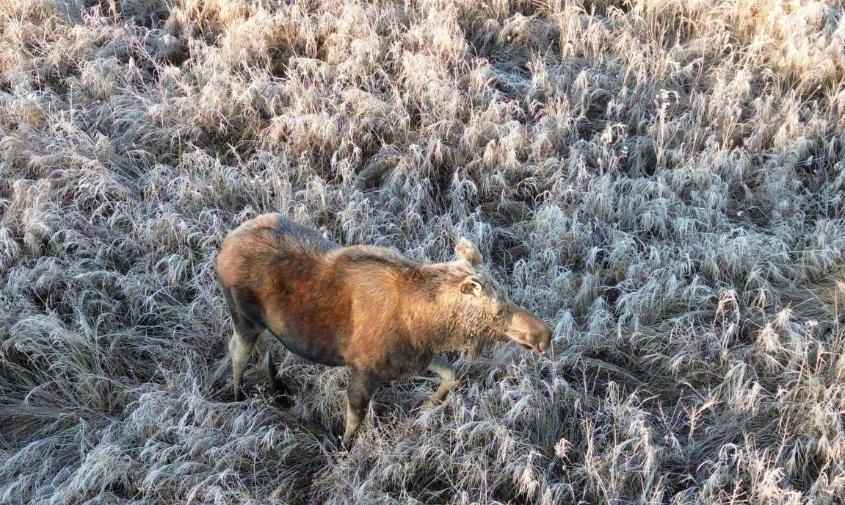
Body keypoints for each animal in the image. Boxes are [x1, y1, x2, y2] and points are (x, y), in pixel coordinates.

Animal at [214, 213, 552, 444]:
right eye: (498, 310)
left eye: (508, 296)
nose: (545, 336)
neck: (431, 327)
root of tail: (223, 246)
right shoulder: (365, 369)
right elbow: (354, 420)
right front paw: (344, 449)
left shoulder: (415, 358)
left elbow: (451, 374)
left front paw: (427, 409)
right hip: (243, 317)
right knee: (237, 351)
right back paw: (237, 394)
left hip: (265, 324)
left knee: (263, 348)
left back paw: (277, 389)